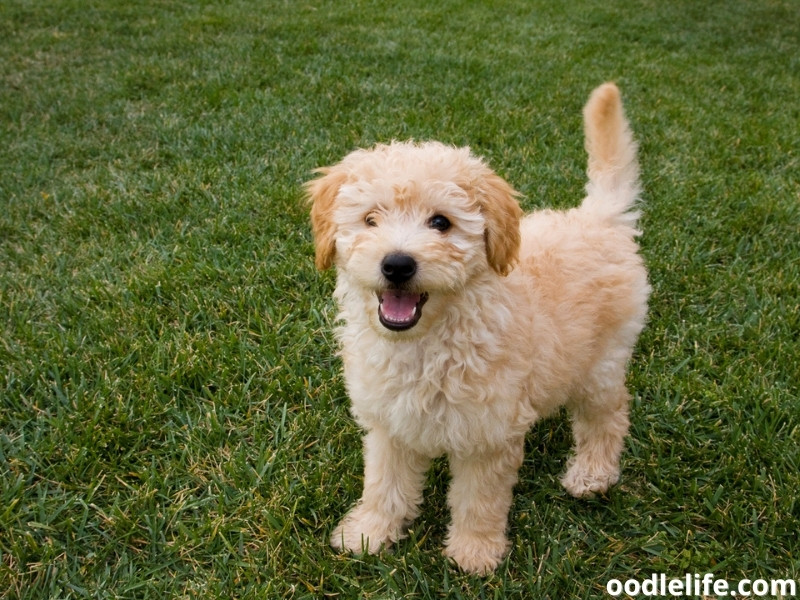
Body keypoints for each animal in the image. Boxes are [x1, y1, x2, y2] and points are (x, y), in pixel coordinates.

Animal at [306, 82, 648, 576]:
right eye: (370, 219)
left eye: (441, 222)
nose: (397, 264)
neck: (428, 343)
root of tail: (597, 218)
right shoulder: (390, 423)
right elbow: (383, 484)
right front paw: (369, 533)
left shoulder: (487, 436)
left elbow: (479, 500)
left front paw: (474, 553)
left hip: (601, 363)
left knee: (609, 416)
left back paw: (592, 474)